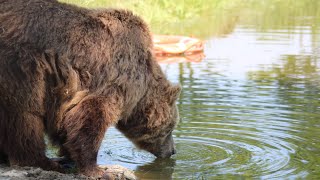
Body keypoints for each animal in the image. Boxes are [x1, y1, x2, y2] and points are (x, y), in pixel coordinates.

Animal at [0, 0, 180, 177]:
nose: (173, 151)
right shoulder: (109, 78)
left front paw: (68, 155)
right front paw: (96, 169)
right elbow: (90, 117)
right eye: (170, 128)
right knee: (25, 120)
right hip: (24, 70)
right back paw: (44, 162)